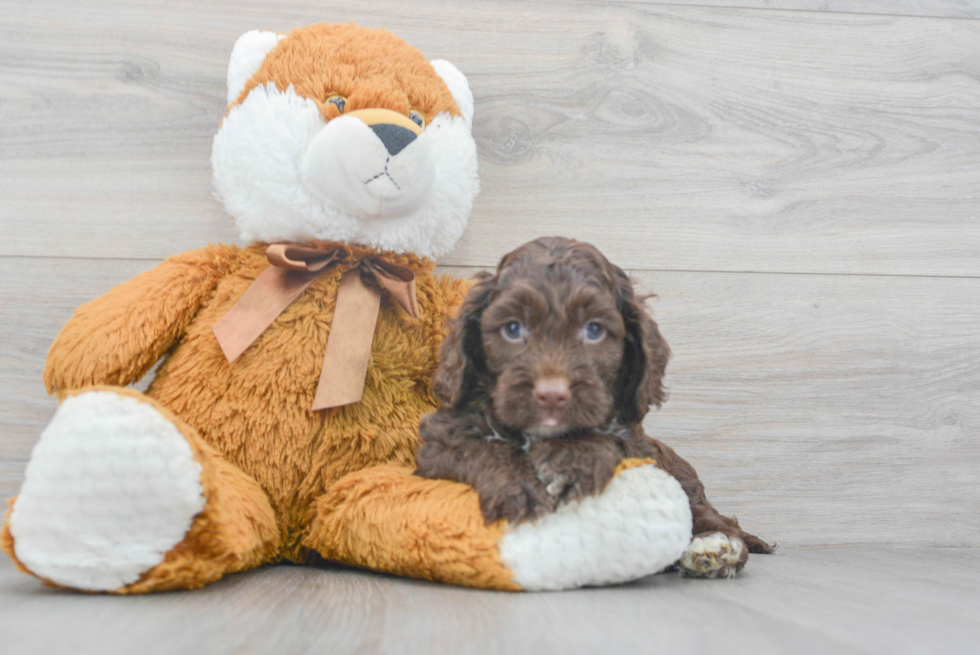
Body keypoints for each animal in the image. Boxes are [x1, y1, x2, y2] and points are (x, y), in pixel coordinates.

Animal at [416, 238, 772, 576]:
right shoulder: (439, 443)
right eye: (513, 328)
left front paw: (572, 457)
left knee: (708, 516)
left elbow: (609, 438)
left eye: (594, 330)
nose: (551, 394)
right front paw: (517, 485)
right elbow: (475, 449)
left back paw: (715, 547)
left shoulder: (636, 441)